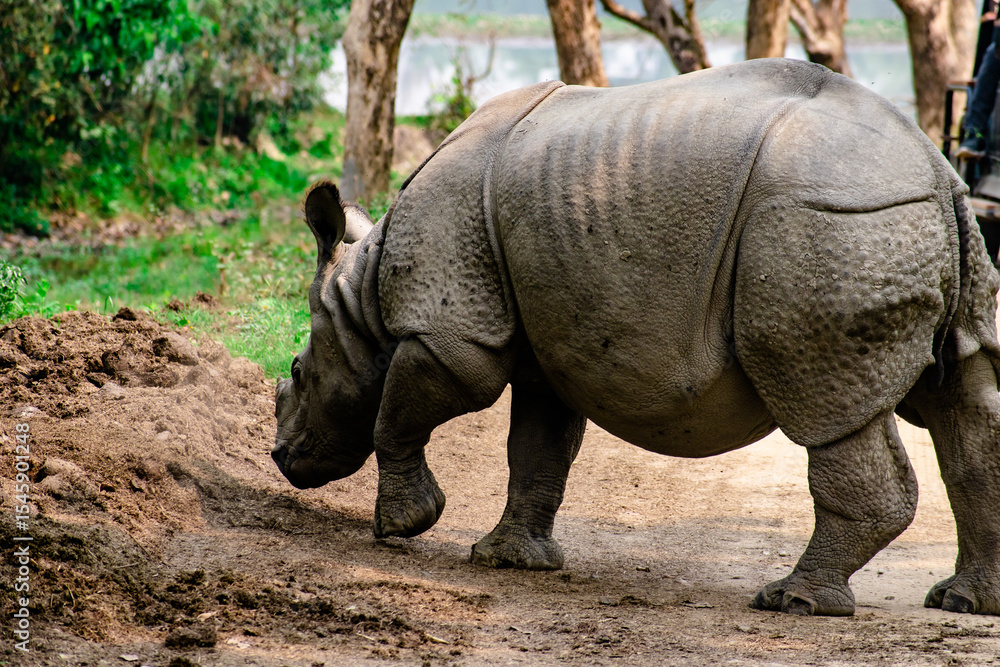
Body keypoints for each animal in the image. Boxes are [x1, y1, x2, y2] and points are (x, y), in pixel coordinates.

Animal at [273, 58, 1000, 617]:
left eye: (298, 371)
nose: (282, 457)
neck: (362, 298)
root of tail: (935, 168)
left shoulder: (450, 332)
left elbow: (400, 412)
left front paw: (403, 526)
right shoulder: (547, 347)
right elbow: (537, 447)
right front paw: (509, 560)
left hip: (831, 220)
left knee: (827, 408)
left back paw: (794, 601)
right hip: (899, 224)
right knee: (961, 402)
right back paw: (962, 602)